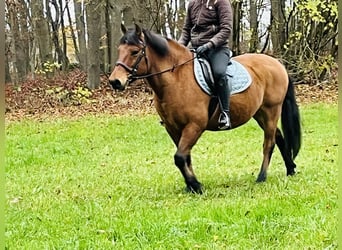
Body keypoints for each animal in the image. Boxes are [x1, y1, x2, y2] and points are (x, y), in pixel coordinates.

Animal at [108, 23, 300, 193]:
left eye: (134, 52)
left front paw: (196, 185)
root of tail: (277, 64)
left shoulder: (195, 126)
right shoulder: (173, 128)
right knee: (279, 137)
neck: (176, 80)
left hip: (271, 110)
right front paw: (190, 186)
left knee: (269, 143)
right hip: (260, 113)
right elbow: (185, 157)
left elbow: (179, 157)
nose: (115, 81)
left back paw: (262, 177)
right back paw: (290, 169)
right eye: (119, 50)